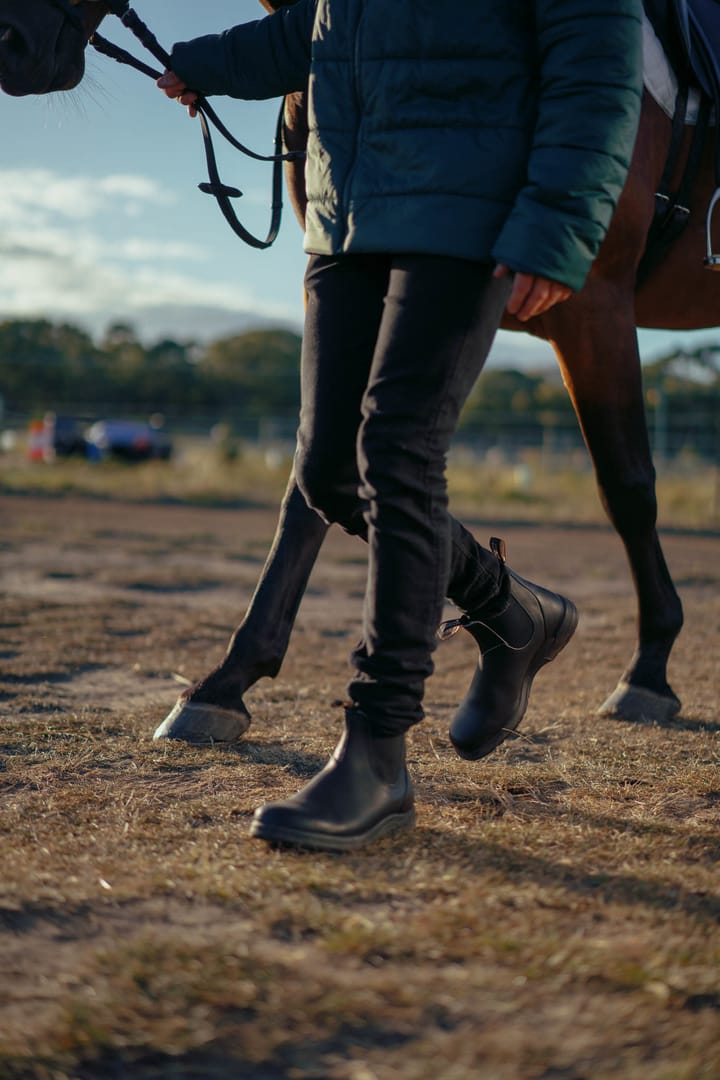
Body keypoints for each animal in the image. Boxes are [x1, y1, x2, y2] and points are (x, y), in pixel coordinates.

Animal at [1, 0, 716, 743]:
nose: (14, 42)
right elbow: (309, 488)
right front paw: (224, 683)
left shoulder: (593, 305)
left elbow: (626, 487)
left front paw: (649, 672)